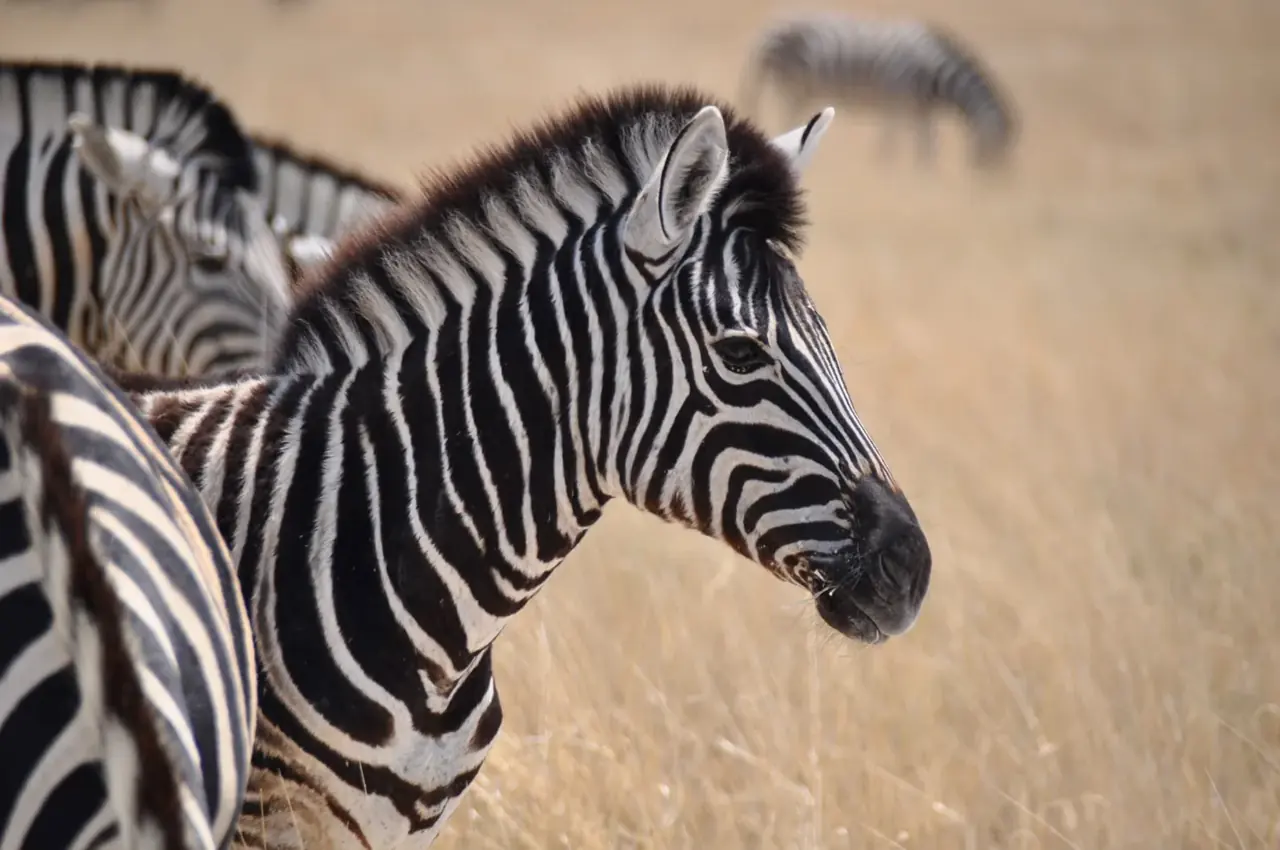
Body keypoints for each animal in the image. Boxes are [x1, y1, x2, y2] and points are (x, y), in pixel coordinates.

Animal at [740, 14, 1017, 167]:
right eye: (999, 148)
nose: (993, 186)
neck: (935, 72)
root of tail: (772, 28)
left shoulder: (920, 108)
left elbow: (926, 141)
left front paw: (925, 173)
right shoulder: (898, 96)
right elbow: (896, 137)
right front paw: (888, 166)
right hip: (795, 83)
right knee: (790, 117)